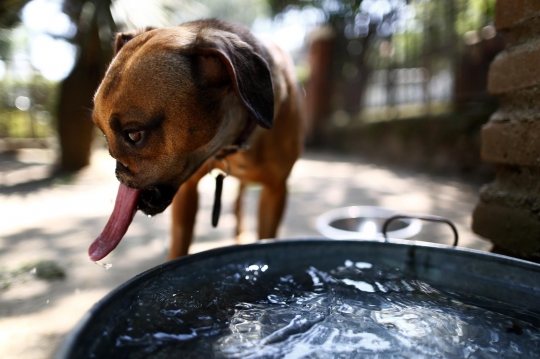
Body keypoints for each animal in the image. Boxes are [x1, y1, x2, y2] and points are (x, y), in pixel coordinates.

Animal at [90, 19, 306, 262]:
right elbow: (179, 244)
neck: (229, 145)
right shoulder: (187, 192)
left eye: (134, 135)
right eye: (103, 134)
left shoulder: (275, 192)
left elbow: (267, 237)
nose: (118, 172)